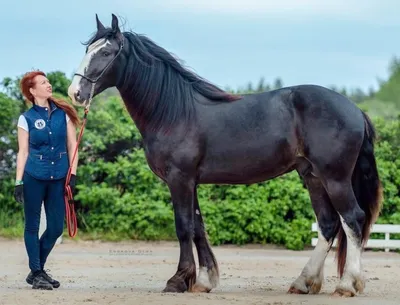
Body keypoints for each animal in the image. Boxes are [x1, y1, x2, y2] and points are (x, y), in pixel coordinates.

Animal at [67, 14, 382, 296]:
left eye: (105, 52)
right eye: (87, 50)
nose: (75, 92)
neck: (173, 112)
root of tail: (356, 110)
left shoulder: (179, 179)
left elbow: (183, 227)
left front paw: (178, 280)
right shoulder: (190, 181)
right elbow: (198, 227)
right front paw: (204, 280)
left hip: (335, 178)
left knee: (353, 219)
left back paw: (347, 285)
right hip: (313, 177)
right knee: (328, 225)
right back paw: (304, 282)